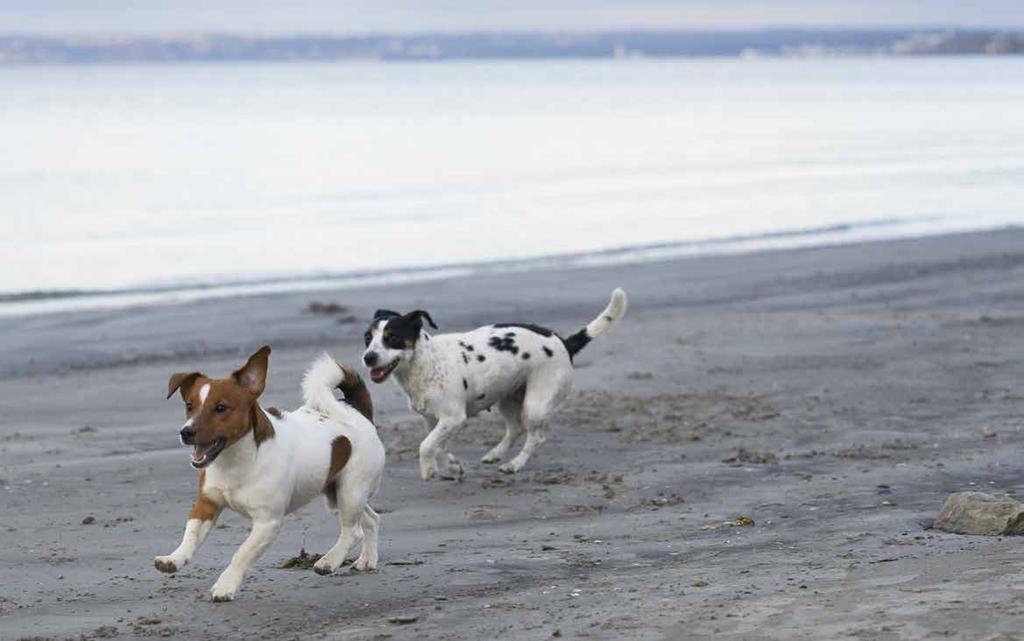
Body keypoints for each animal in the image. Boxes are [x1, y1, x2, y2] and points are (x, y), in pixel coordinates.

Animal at [153, 344, 385, 597]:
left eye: (221, 408)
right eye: (189, 406)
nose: (186, 432)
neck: (234, 462)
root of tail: (357, 411)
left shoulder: (267, 523)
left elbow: (242, 553)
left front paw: (226, 585)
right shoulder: (207, 504)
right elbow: (191, 534)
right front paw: (175, 558)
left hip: (350, 491)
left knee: (352, 531)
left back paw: (329, 561)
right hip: (337, 493)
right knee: (371, 520)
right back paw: (367, 560)